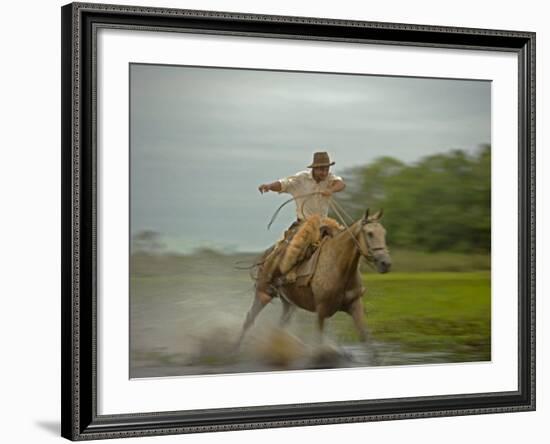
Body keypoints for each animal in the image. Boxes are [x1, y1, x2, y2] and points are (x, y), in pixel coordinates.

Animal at [238, 208, 392, 346]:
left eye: (384, 233)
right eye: (370, 233)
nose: (386, 263)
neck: (339, 268)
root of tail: (268, 254)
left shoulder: (355, 305)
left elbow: (366, 340)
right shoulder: (321, 311)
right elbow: (318, 342)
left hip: (288, 303)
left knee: (279, 326)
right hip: (263, 294)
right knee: (249, 319)